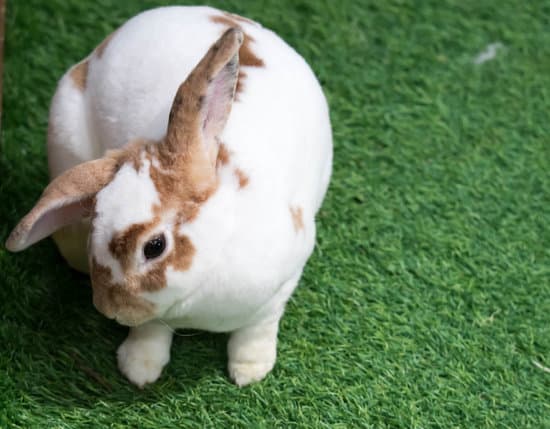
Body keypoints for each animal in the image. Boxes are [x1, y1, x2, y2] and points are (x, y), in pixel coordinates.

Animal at [5, 5, 332, 388]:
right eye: (95, 224)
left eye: (154, 247)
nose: (110, 309)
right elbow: (150, 331)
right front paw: (139, 369)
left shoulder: (281, 287)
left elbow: (258, 327)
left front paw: (250, 370)